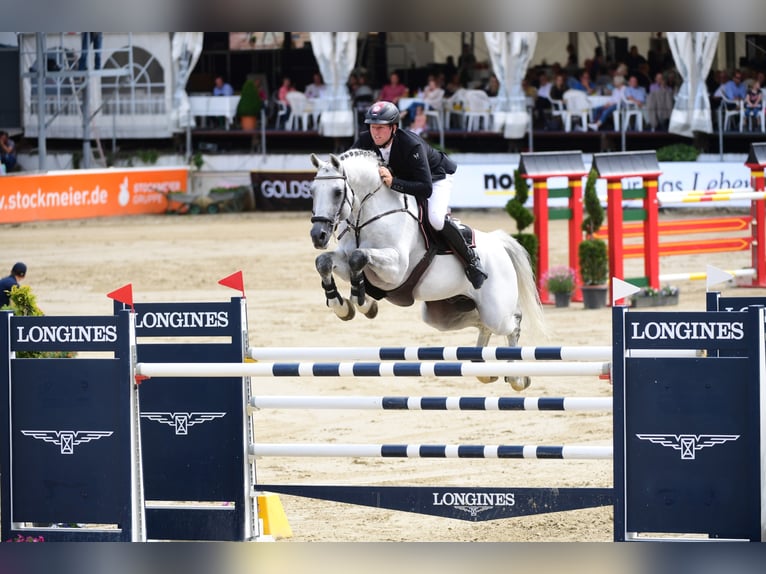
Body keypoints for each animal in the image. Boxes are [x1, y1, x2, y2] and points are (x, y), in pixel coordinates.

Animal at [308, 150, 546, 390]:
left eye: (337, 192)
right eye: (312, 190)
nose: (318, 236)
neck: (365, 215)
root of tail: (498, 243)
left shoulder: (395, 269)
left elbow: (359, 257)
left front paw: (361, 300)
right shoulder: (345, 260)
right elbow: (325, 262)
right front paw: (344, 306)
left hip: (496, 310)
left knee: (513, 323)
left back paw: (517, 377)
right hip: (443, 315)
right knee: (483, 324)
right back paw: (484, 370)